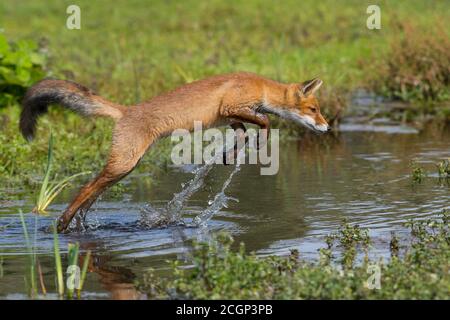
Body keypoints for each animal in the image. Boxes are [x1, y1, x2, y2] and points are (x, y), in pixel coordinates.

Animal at [19, 72, 328, 232]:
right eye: (314, 109)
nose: (326, 128)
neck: (260, 87)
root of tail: (126, 110)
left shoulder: (230, 116)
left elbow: (243, 130)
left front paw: (231, 154)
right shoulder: (232, 106)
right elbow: (264, 121)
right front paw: (260, 141)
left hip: (125, 167)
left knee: (92, 190)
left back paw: (78, 223)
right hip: (124, 163)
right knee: (85, 188)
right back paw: (62, 224)